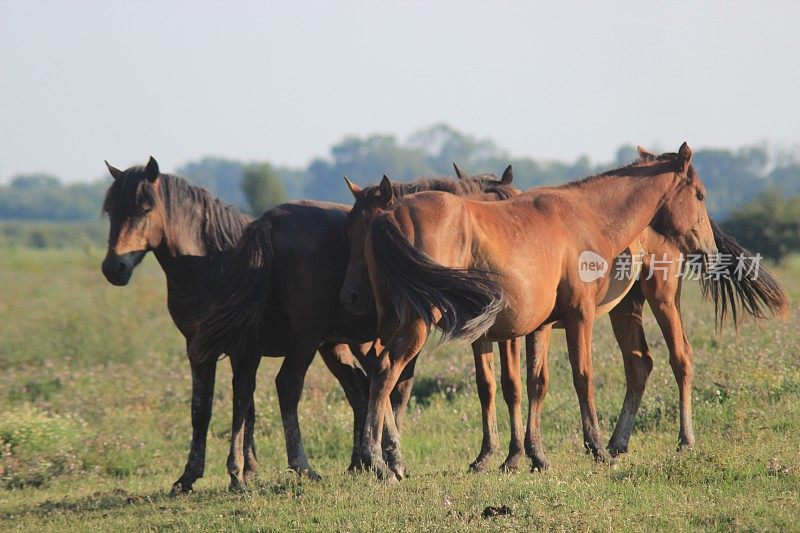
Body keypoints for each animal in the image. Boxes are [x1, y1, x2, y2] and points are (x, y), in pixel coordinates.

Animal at [100, 158, 372, 490]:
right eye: (111, 211)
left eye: (145, 208)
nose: (114, 268)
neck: (213, 265)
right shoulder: (200, 350)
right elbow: (204, 409)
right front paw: (194, 475)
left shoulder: (245, 349)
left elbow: (240, 401)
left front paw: (237, 472)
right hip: (332, 344)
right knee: (357, 387)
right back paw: (357, 463)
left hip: (313, 338)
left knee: (298, 386)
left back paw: (309, 466)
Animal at [188, 169, 520, 482]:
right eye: (349, 234)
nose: (350, 296)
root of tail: (268, 222)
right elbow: (397, 388)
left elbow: (384, 386)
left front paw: (384, 457)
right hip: (308, 336)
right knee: (289, 384)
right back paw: (302, 465)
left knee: (245, 388)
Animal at [354, 142, 724, 478]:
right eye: (700, 195)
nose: (709, 251)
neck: (585, 217)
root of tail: (391, 216)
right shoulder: (578, 316)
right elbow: (581, 377)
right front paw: (595, 448)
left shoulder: (540, 326)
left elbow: (535, 383)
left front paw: (534, 456)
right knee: (386, 370)